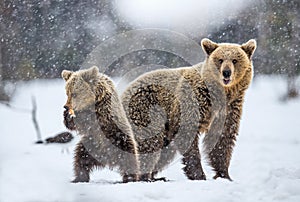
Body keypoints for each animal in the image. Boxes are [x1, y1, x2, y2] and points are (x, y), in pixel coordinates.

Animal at [120, 38, 256, 181]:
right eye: (220, 59)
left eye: (235, 60)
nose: (226, 72)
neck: (220, 95)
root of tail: (123, 94)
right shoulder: (194, 101)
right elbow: (188, 133)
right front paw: (199, 174)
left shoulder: (229, 109)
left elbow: (223, 139)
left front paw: (224, 174)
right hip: (145, 110)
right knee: (148, 145)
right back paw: (140, 177)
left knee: (164, 151)